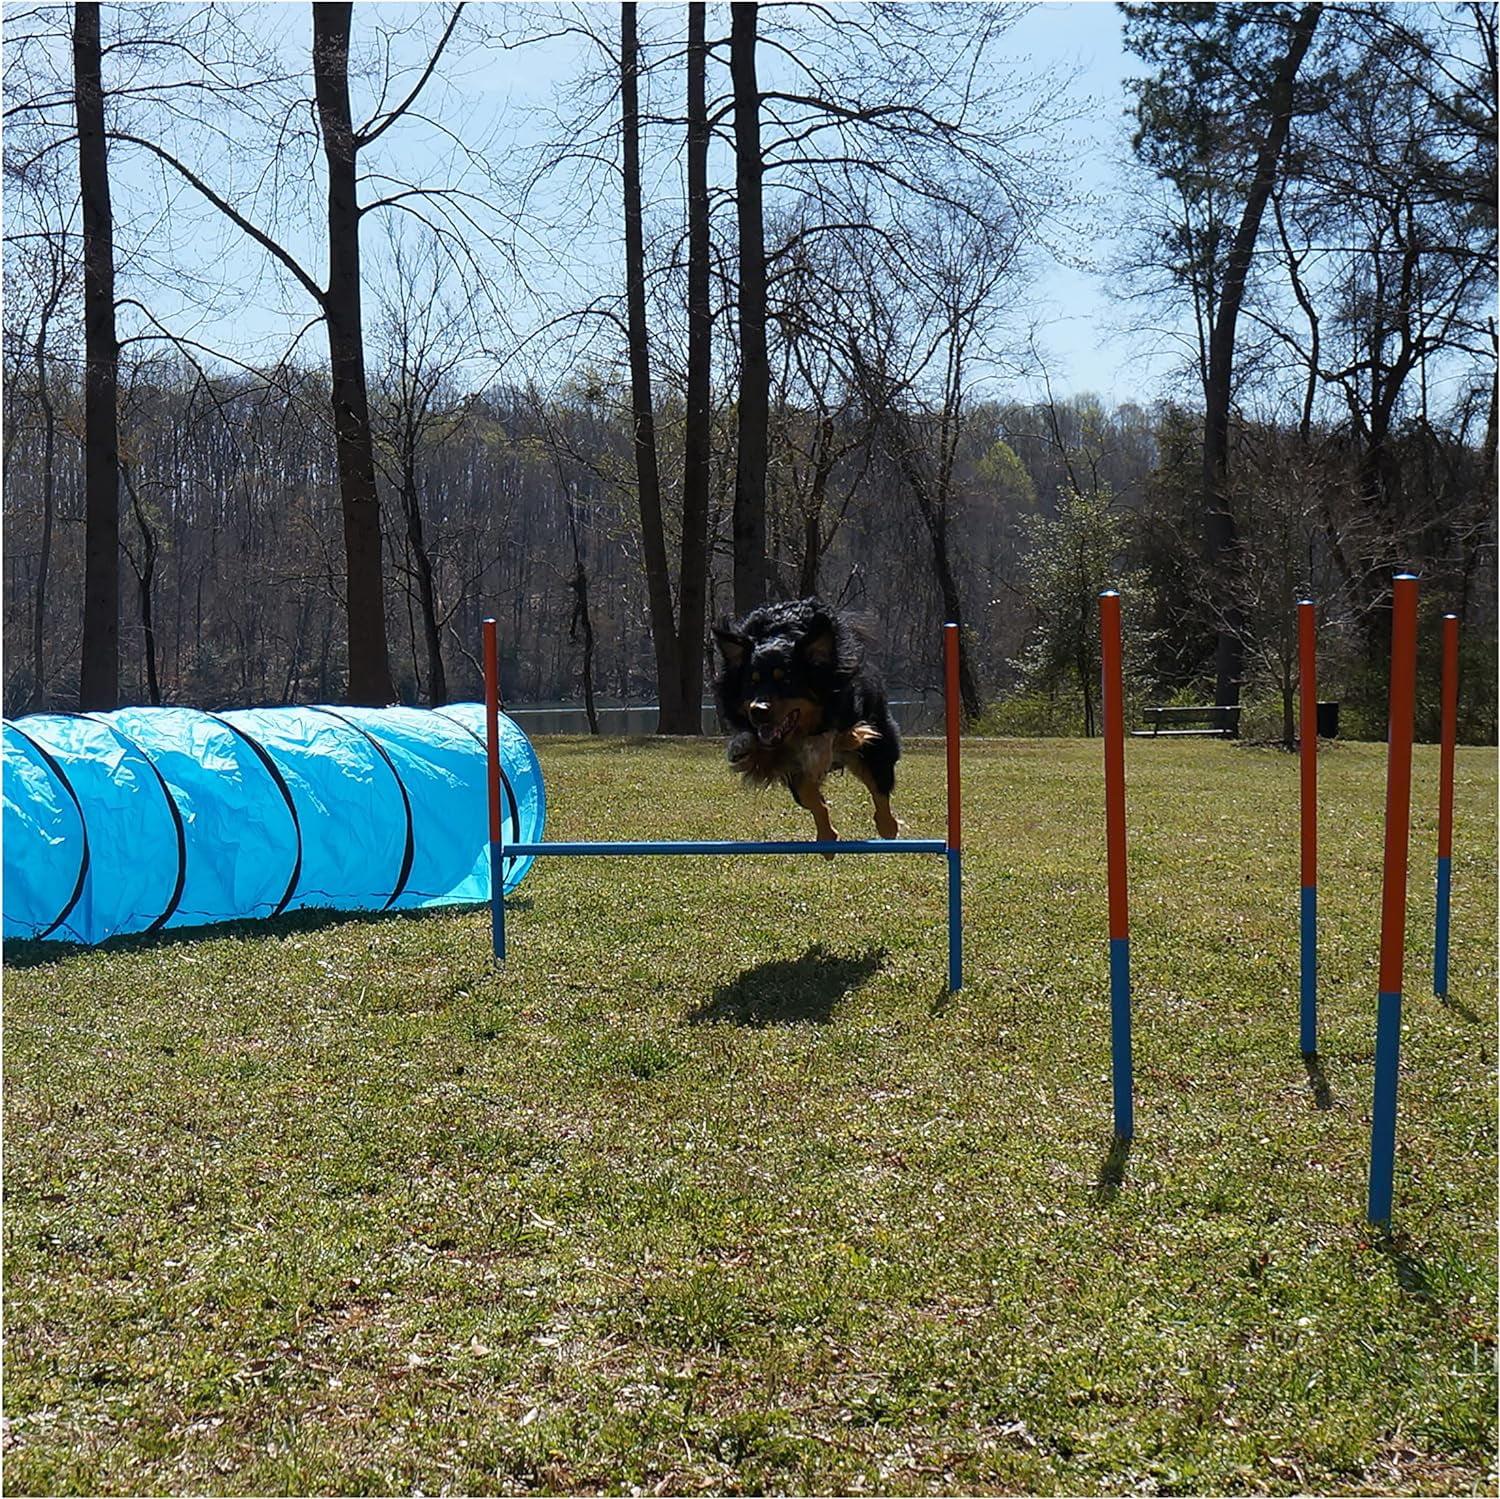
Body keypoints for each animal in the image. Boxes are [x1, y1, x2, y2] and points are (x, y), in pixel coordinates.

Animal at [714, 600, 900, 858]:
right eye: (752, 681)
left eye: (786, 680)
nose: (757, 710)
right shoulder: (788, 761)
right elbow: (809, 795)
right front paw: (827, 838)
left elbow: (844, 745)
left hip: (880, 736)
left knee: (879, 782)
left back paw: (888, 826)